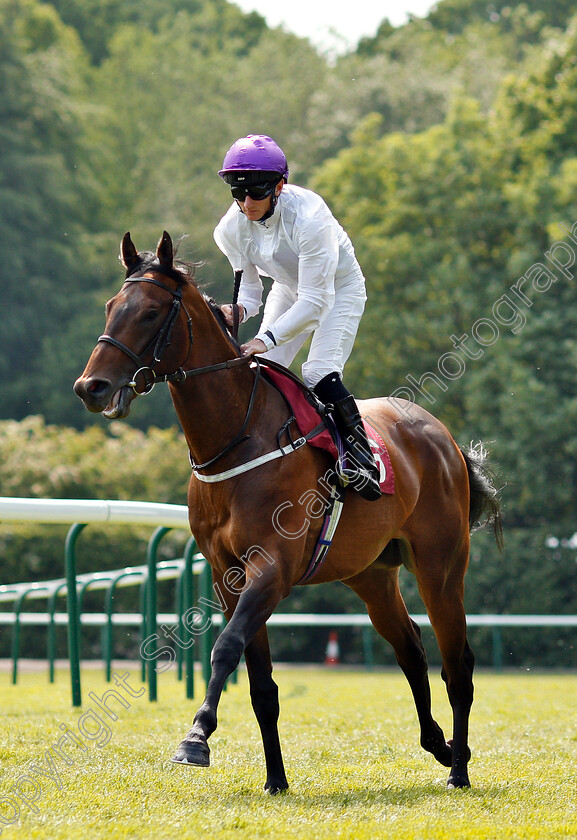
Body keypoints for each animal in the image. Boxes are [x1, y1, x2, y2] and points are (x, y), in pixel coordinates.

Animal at [74, 231, 502, 796]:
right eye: (109, 306)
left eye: (148, 312)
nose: (91, 387)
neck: (236, 441)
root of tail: (444, 437)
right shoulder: (227, 575)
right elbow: (261, 684)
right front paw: (275, 779)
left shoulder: (272, 568)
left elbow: (226, 647)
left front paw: (196, 737)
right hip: (371, 575)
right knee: (411, 649)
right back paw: (441, 745)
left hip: (441, 568)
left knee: (459, 665)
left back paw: (459, 769)